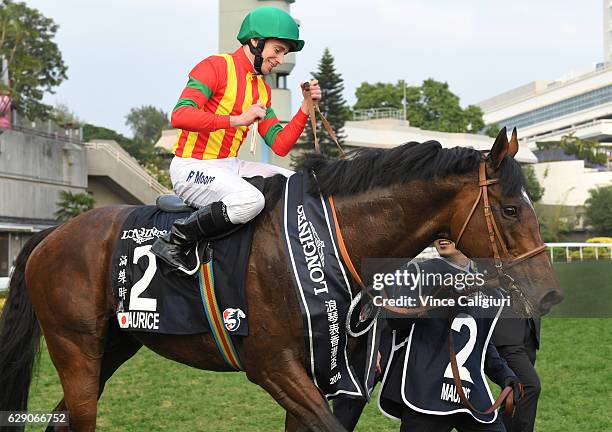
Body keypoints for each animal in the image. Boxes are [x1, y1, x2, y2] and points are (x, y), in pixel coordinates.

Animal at [0, 130, 564, 430]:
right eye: (511, 209)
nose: (551, 294)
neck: (329, 239)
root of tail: (53, 233)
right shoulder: (274, 368)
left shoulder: (312, 372)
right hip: (75, 348)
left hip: (113, 346)